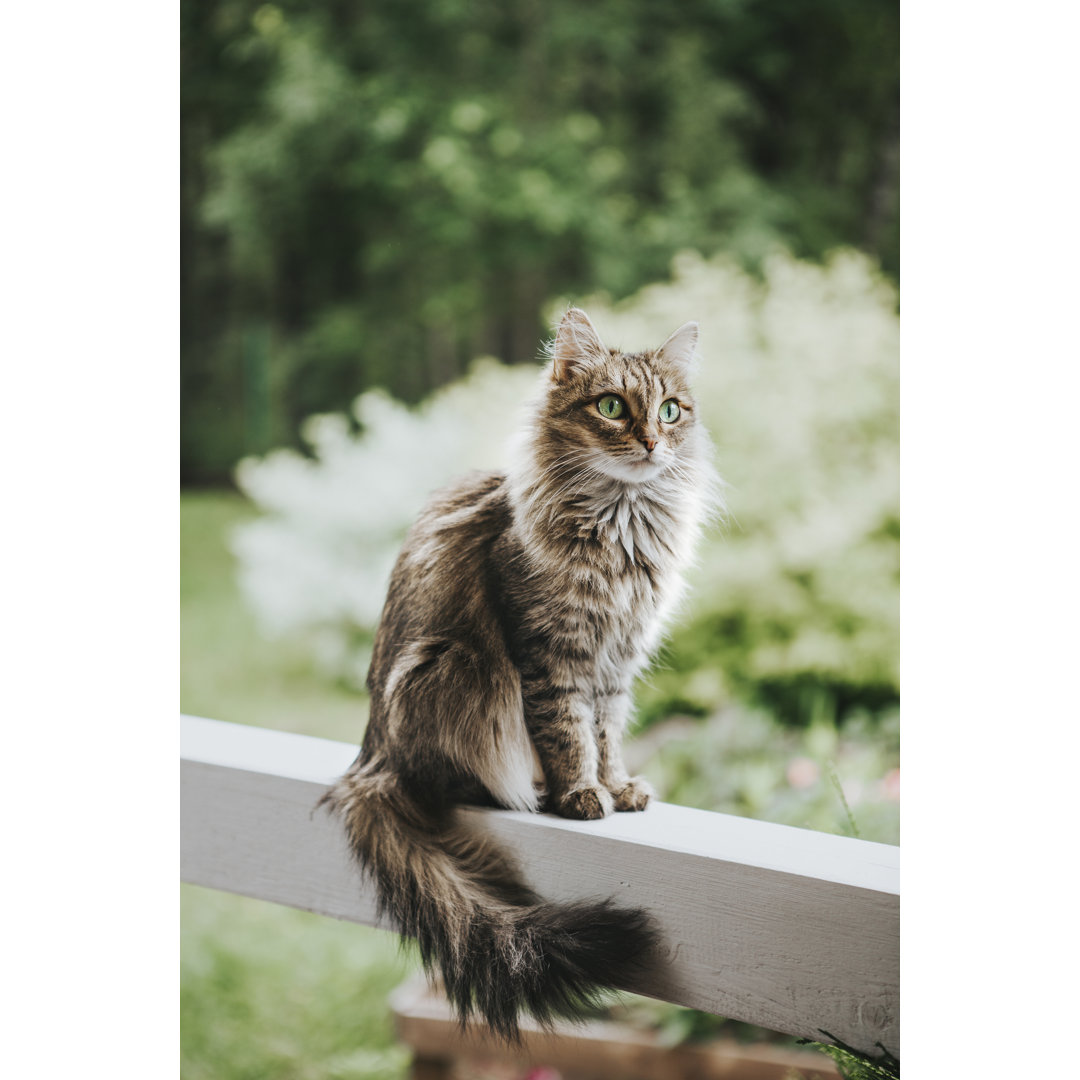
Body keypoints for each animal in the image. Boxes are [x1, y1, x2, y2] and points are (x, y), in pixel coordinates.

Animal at [319, 308, 717, 1041]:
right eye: (612, 407)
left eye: (671, 410)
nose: (651, 441)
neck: (621, 528)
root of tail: (370, 758)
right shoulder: (549, 657)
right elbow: (568, 735)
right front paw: (582, 794)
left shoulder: (616, 664)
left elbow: (609, 735)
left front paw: (620, 786)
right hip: (455, 670)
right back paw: (524, 788)